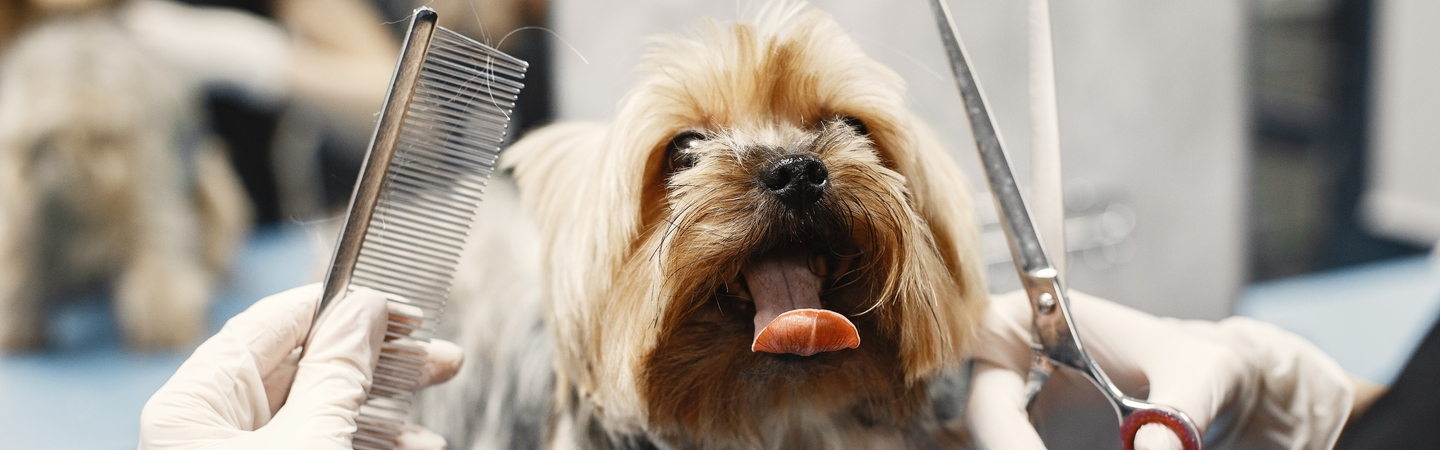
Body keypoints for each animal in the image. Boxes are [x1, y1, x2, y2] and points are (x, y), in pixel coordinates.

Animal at [0, 1, 249, 350]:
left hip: (20, 225)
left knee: (16, 281)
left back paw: (21, 335)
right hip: (156, 207)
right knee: (162, 283)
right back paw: (173, 332)